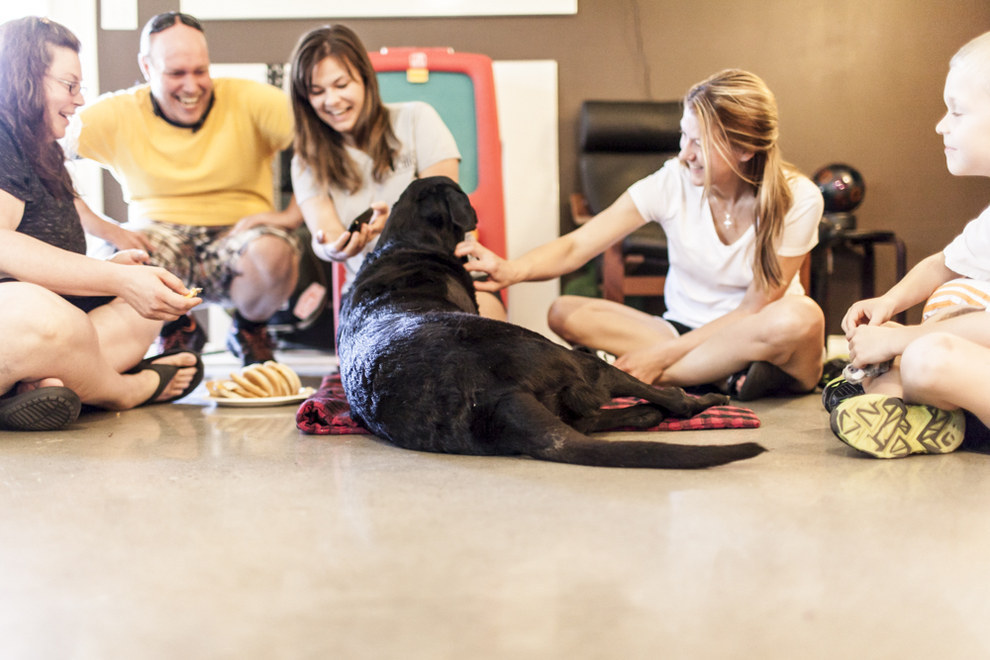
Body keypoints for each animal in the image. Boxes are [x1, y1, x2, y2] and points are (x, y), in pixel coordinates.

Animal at [340, 175, 768, 470]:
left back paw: (644, 414)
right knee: (665, 397)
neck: (405, 245)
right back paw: (700, 401)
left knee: (587, 420)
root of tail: (496, 396)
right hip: (575, 359)